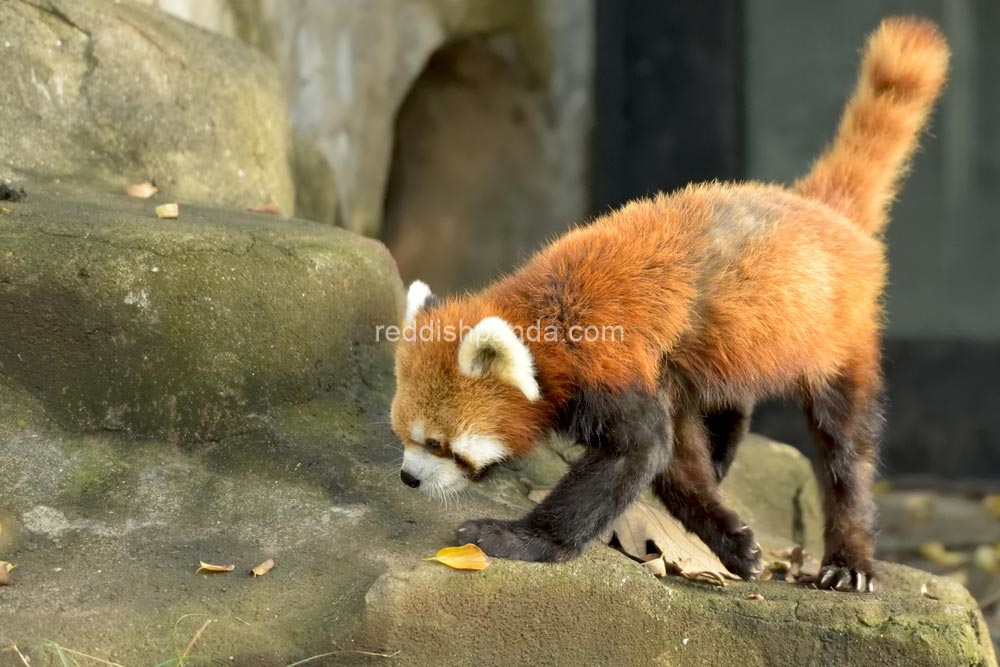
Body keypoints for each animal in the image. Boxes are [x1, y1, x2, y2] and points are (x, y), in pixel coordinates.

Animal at [388, 15, 944, 592]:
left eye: (437, 443)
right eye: (402, 433)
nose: (408, 477)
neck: (547, 312)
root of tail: (823, 212)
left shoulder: (608, 361)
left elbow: (641, 449)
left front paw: (520, 539)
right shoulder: (654, 372)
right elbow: (672, 457)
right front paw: (731, 538)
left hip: (838, 336)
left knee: (847, 452)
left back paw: (849, 559)